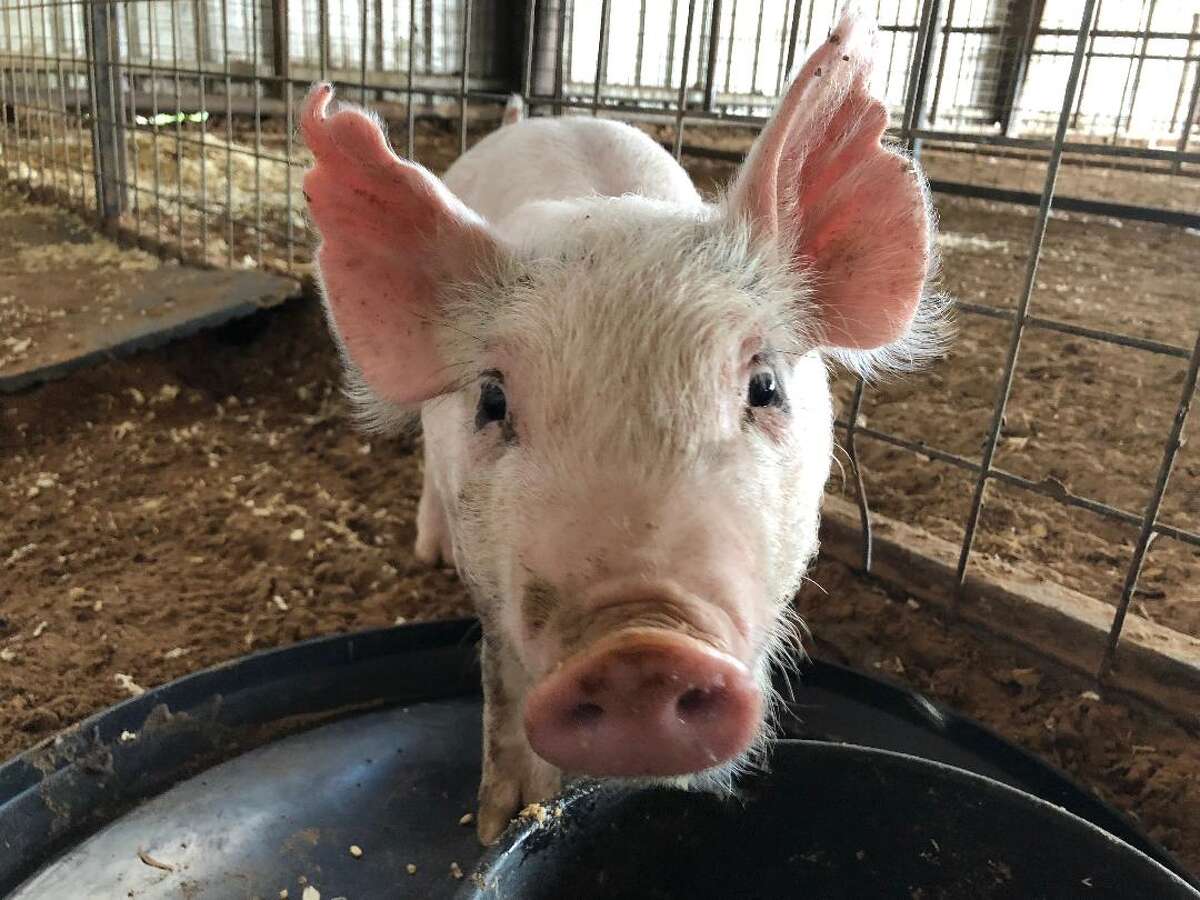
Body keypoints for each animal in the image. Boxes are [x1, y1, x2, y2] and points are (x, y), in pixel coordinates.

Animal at [301, 7, 945, 845]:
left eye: (765, 385)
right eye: (493, 402)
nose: (640, 648)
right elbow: (502, 681)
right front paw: (497, 825)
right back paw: (426, 550)